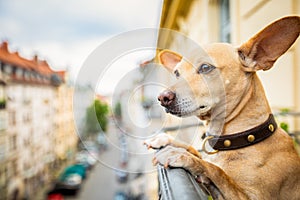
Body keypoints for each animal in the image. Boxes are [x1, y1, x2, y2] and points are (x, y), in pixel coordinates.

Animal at [144, 16, 298, 199]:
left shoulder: (248, 196)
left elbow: (218, 171)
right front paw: (167, 140)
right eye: (176, 73)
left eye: (205, 67)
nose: (162, 98)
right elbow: (197, 152)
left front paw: (183, 156)